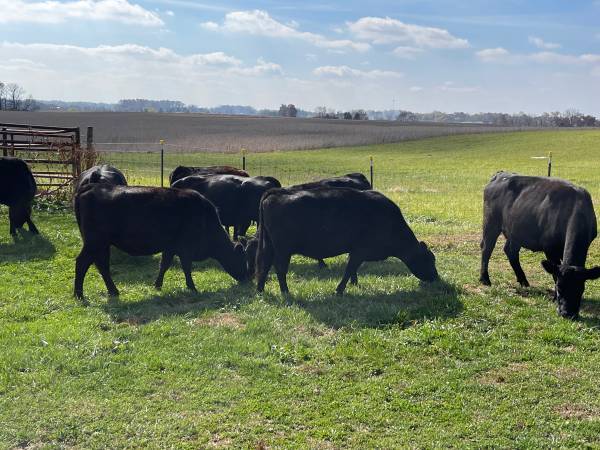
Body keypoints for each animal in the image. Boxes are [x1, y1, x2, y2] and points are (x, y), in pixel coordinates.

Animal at [74, 183, 248, 298]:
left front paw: (157, 285)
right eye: (242, 259)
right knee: (82, 262)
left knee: (101, 265)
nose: (247, 279)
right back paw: (79, 294)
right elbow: (186, 267)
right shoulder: (186, 248)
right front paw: (192, 287)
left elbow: (164, 265)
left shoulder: (170, 247)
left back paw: (113, 291)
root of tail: (90, 187)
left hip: (101, 244)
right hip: (94, 242)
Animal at [255, 186, 438, 296]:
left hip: (269, 245)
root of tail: (277, 191)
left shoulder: (354, 250)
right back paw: (285, 292)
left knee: (265, 264)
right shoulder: (361, 251)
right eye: (428, 260)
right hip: (283, 249)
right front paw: (340, 290)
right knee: (279, 268)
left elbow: (352, 269)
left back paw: (260, 290)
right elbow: (350, 268)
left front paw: (353, 284)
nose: (435, 277)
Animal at [480, 171, 600, 318]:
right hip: (491, 223)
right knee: (487, 249)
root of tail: (500, 174)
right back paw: (485, 279)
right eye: (559, 288)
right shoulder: (550, 249)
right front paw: (554, 298)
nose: (567, 313)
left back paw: (523, 281)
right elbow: (554, 273)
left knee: (510, 251)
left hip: (516, 231)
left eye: (581, 289)